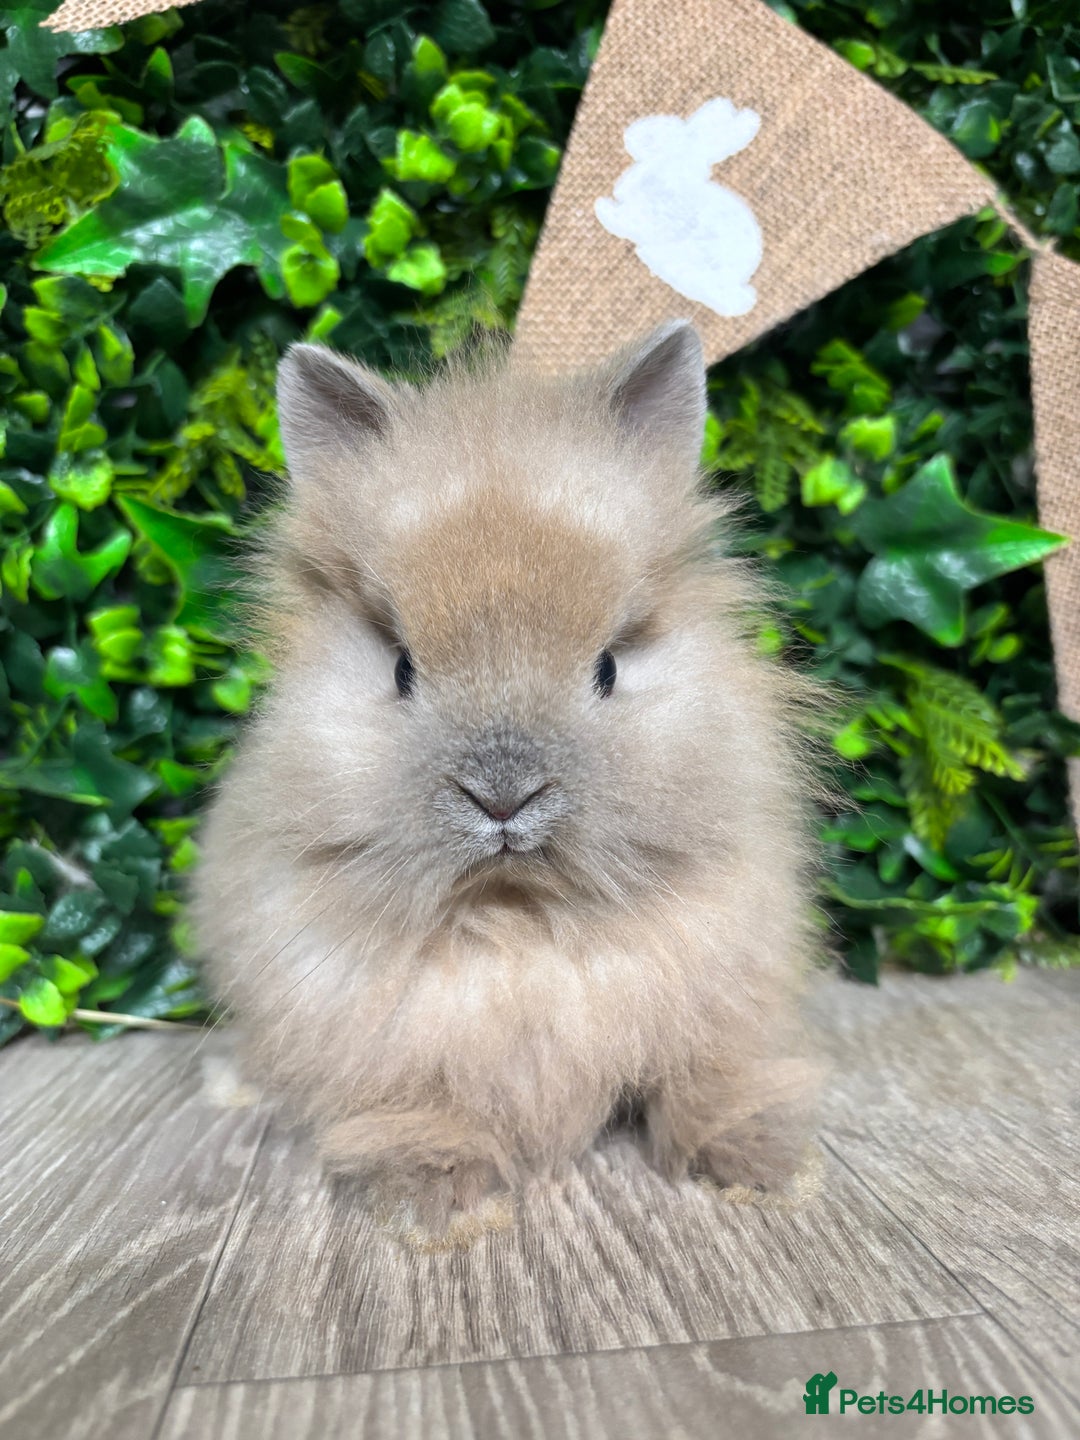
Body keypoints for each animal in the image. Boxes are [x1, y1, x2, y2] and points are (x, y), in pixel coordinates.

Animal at [192, 321, 824, 1250]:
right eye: (402, 667)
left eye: (607, 667)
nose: (502, 796)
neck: (518, 909)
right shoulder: (374, 1036)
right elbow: (418, 1104)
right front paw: (437, 1199)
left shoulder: (727, 995)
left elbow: (709, 1080)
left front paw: (762, 1166)